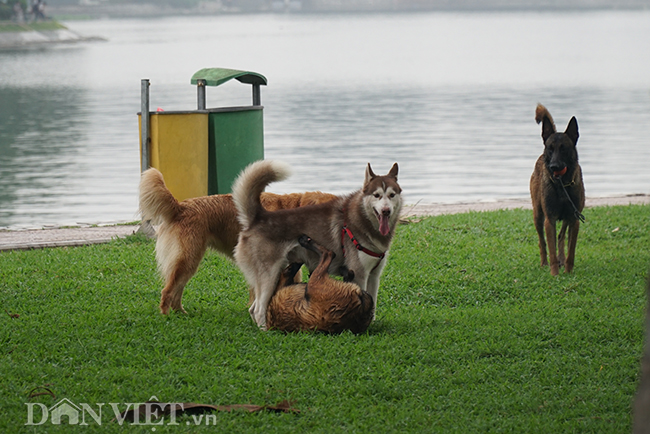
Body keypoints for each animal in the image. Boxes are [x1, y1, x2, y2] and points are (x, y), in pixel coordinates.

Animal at [140, 167, 336, 316]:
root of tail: (180, 207)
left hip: (188, 261)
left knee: (177, 290)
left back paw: (181, 313)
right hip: (188, 258)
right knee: (168, 291)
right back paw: (166, 316)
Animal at [233, 159, 400, 328]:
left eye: (391, 195)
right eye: (377, 195)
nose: (386, 211)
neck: (363, 219)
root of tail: (258, 217)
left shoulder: (374, 275)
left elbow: (373, 303)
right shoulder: (359, 273)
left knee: (254, 307)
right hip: (269, 276)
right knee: (258, 309)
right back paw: (266, 329)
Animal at [528, 103, 584, 276]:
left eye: (564, 148)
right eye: (550, 148)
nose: (554, 166)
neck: (562, 185)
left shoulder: (574, 219)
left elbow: (571, 249)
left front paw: (568, 271)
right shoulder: (549, 219)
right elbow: (550, 248)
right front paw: (554, 274)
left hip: (566, 217)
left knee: (561, 236)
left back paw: (562, 260)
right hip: (538, 215)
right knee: (542, 242)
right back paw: (544, 263)